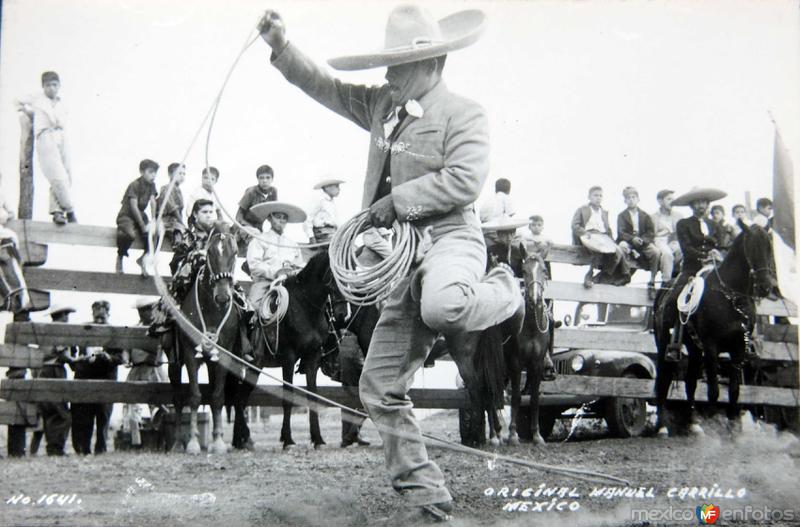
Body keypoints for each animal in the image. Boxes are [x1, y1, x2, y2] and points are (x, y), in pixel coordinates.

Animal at [167, 230, 242, 454]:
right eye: (209, 252)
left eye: (235, 252)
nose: (223, 297)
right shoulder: (191, 355)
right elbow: (194, 396)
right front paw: (192, 442)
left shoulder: (224, 356)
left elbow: (217, 397)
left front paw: (218, 443)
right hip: (174, 364)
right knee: (177, 398)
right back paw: (177, 443)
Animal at [652, 223, 780, 438]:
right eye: (751, 247)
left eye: (769, 246)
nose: (765, 286)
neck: (732, 296)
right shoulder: (712, 348)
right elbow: (713, 390)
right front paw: (715, 426)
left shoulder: (739, 350)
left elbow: (734, 390)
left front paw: (734, 429)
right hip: (664, 346)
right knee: (664, 379)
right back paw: (662, 427)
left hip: (695, 350)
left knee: (690, 383)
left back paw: (693, 425)